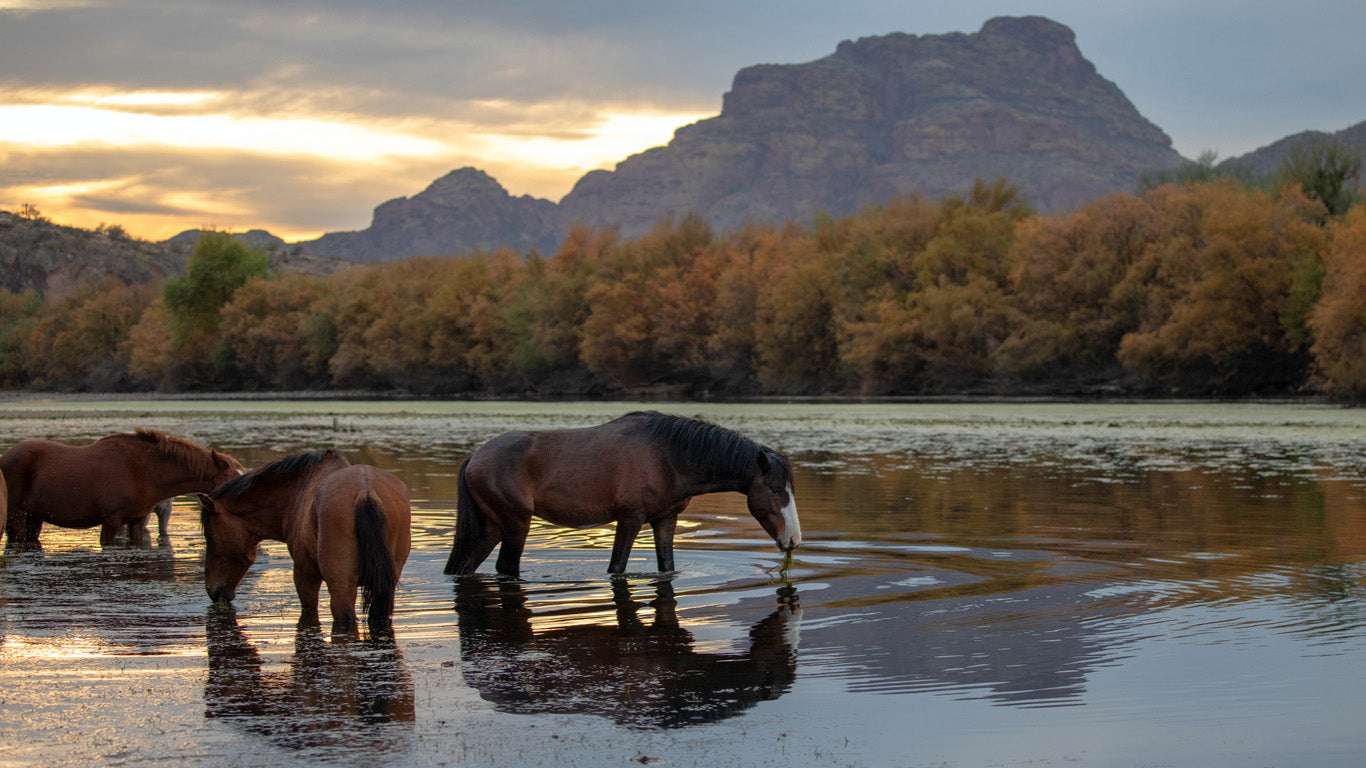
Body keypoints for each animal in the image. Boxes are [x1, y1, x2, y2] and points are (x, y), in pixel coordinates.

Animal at [1, 428, 244, 547]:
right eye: (232, 478)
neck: (141, 469)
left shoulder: (136, 521)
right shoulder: (111, 521)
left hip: (34, 518)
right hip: (17, 516)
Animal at [195, 450, 412, 636]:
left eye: (210, 536)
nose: (212, 590)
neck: (300, 489)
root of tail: (366, 492)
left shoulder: (304, 576)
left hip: (341, 587)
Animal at [443, 410, 801, 578]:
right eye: (774, 489)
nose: (794, 540)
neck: (668, 455)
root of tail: (475, 458)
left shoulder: (665, 520)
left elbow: (666, 565)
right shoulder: (629, 519)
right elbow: (617, 567)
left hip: (493, 528)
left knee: (466, 565)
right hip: (516, 526)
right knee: (505, 567)